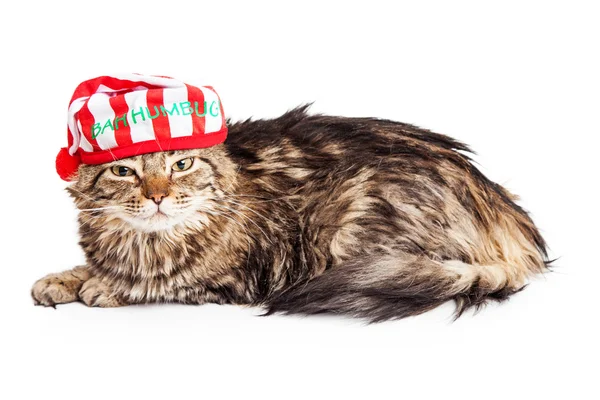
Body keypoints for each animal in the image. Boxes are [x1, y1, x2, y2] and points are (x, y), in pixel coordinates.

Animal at [31, 106, 548, 322]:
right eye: (124, 170)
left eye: (182, 164)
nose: (158, 196)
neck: (144, 241)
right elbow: (88, 266)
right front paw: (65, 278)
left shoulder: (238, 278)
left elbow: (161, 282)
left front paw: (105, 287)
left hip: (352, 219)